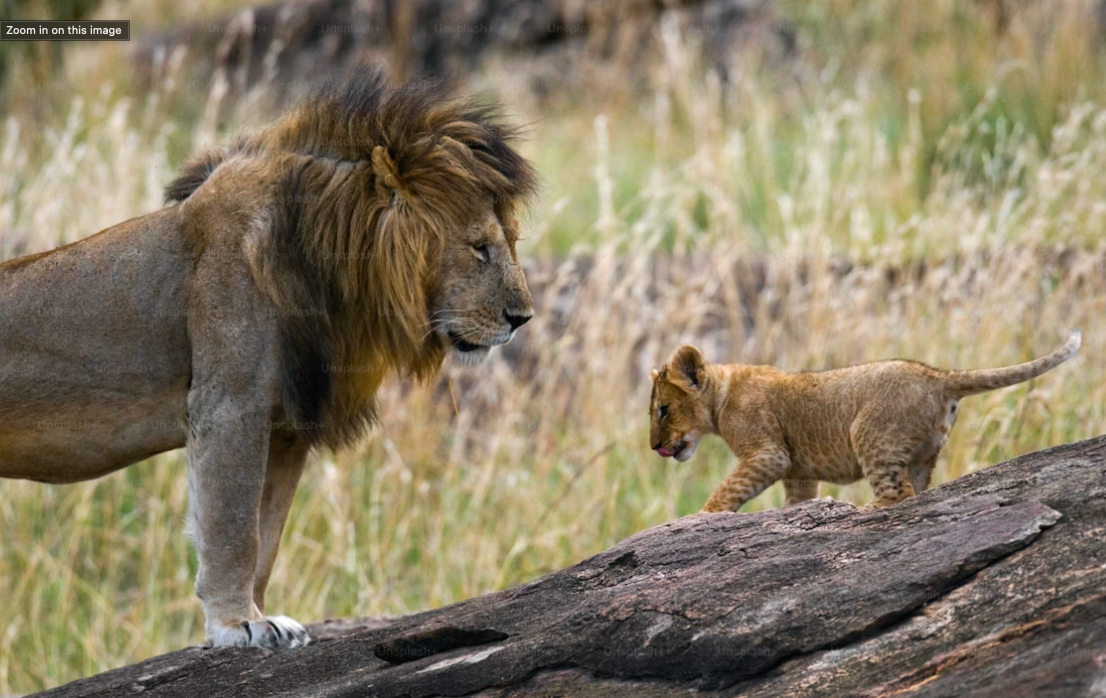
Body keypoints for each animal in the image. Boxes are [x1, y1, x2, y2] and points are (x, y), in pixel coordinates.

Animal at [0, 72, 538, 648]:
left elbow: (266, 534)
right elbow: (233, 528)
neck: (328, 269)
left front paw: (262, 617)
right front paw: (237, 624)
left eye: (509, 241)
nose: (523, 318)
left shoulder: (285, 429)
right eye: (479, 247)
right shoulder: (228, 405)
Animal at [649, 332, 1080, 513]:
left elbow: (728, 489)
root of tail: (938, 376)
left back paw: (864, 510)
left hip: (869, 432)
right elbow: (796, 500)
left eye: (663, 410)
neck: (722, 396)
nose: (654, 447)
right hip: (924, 452)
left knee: (898, 493)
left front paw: (702, 517)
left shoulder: (769, 454)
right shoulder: (798, 472)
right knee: (917, 489)